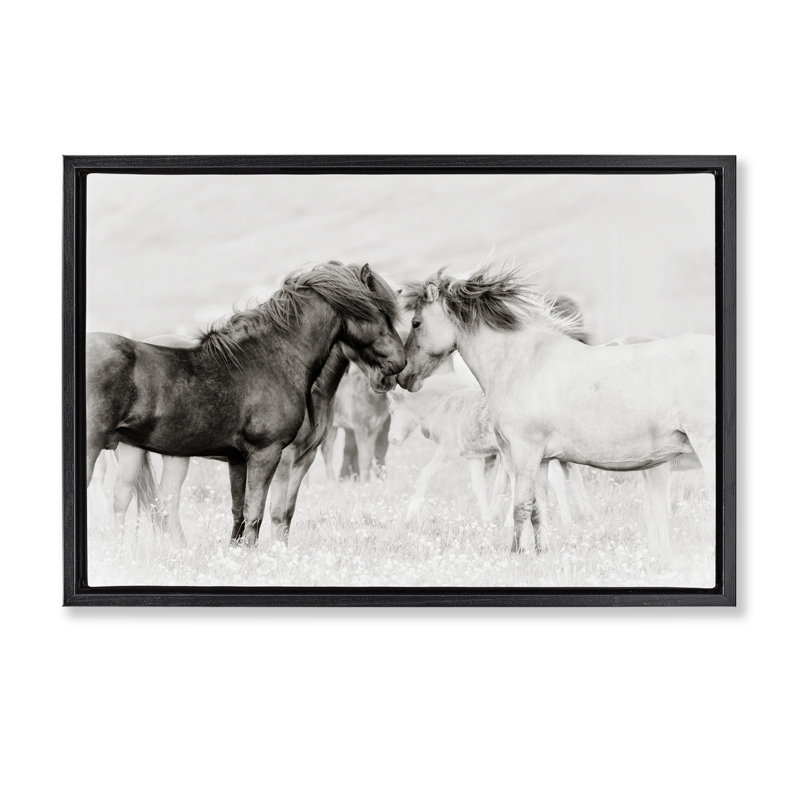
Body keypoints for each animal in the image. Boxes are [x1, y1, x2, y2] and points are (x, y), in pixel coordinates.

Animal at [87, 261, 405, 547]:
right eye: (380, 311)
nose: (398, 365)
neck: (271, 359)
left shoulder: (240, 459)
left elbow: (240, 514)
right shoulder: (270, 454)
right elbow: (259, 514)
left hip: (140, 451)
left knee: (139, 500)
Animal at [398, 267, 715, 555]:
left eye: (416, 322)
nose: (404, 375)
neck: (525, 363)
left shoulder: (524, 452)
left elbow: (520, 507)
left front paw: (515, 554)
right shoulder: (542, 460)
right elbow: (538, 509)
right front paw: (541, 553)